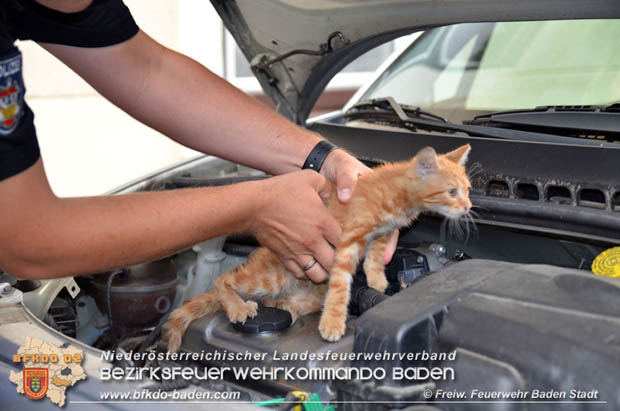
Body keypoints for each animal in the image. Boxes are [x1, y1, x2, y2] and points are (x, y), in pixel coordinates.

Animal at [162, 144, 472, 350]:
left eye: (468, 189)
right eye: (452, 191)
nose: (469, 206)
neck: (396, 194)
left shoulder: (383, 234)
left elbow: (376, 254)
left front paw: (376, 279)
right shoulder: (346, 244)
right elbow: (340, 288)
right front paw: (333, 324)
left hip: (300, 297)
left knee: (282, 304)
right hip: (270, 276)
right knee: (224, 279)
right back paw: (237, 306)